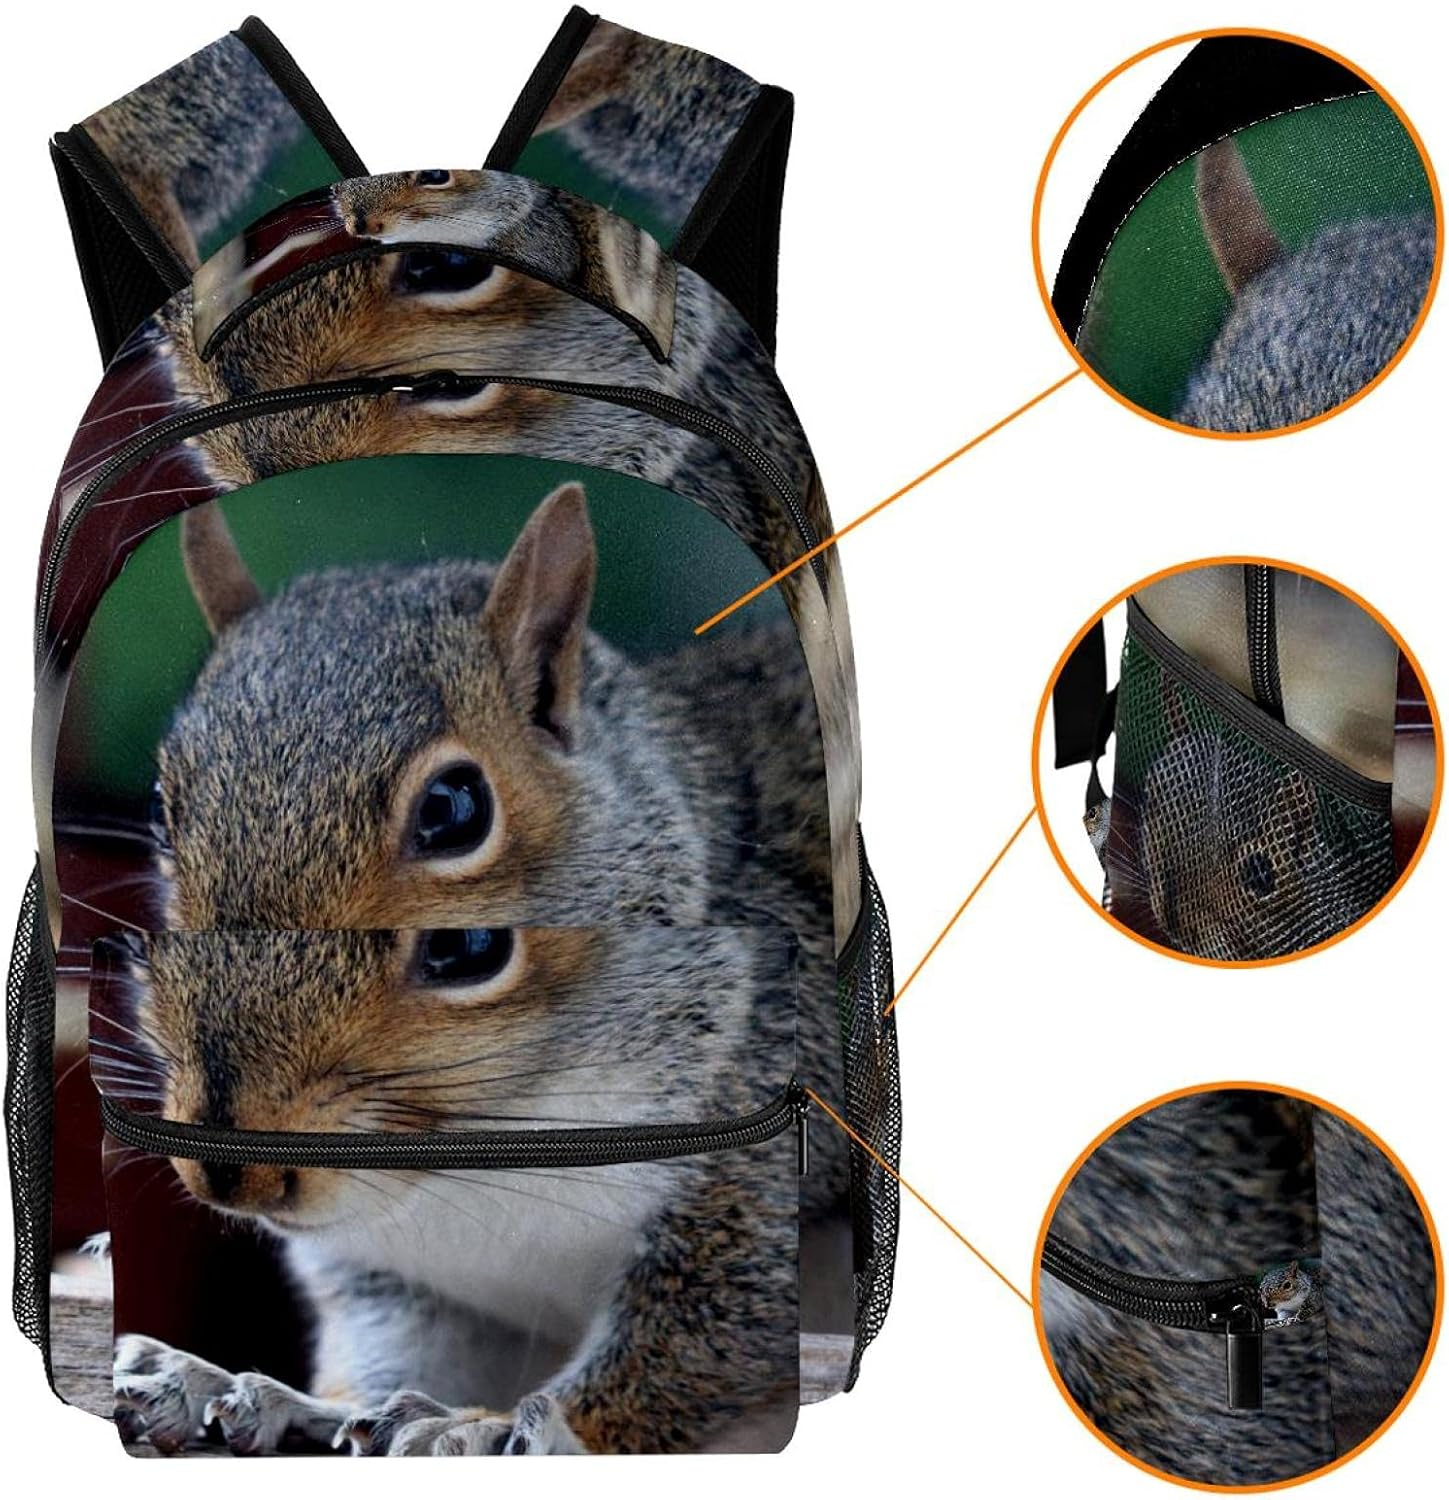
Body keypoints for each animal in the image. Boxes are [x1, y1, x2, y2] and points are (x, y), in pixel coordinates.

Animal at [110, 479, 845, 1454]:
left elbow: (695, 1338)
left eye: (454, 808)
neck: (471, 1155)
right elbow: (389, 1349)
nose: (232, 1173)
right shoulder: (395, 1274)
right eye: (163, 804)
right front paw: (258, 1390)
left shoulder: (748, 1166)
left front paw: (491, 1428)